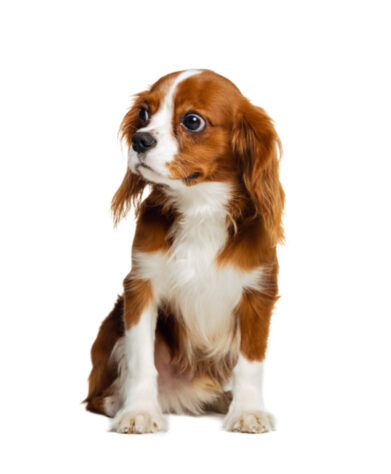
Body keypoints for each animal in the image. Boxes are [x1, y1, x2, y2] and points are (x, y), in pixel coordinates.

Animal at [85, 68, 284, 436]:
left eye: (192, 121)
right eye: (144, 114)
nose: (140, 140)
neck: (200, 207)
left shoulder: (258, 293)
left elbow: (250, 363)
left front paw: (247, 411)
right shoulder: (140, 287)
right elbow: (141, 359)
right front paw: (139, 412)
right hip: (112, 328)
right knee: (97, 397)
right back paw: (120, 402)